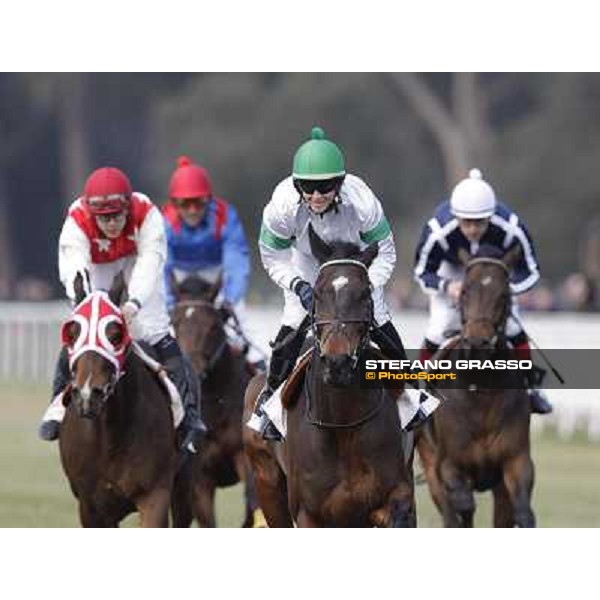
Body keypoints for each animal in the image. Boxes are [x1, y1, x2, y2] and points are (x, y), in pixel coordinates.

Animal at [58, 274, 180, 528]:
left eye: (115, 335)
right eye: (72, 334)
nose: (88, 394)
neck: (111, 436)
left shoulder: (155, 495)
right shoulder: (91, 507)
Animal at [170, 274, 262, 528]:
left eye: (213, 326)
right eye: (174, 324)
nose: (192, 372)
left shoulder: (243, 457)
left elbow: (252, 503)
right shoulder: (199, 480)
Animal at [244, 227, 418, 528]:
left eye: (365, 293)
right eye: (316, 293)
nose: (337, 362)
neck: (342, 422)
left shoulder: (395, 492)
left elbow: (395, 508)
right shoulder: (307, 513)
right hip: (268, 486)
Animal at [414, 246, 536, 528]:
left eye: (504, 295)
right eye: (465, 291)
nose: (478, 343)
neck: (482, 388)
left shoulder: (516, 460)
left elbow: (524, 513)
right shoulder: (448, 466)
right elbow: (463, 506)